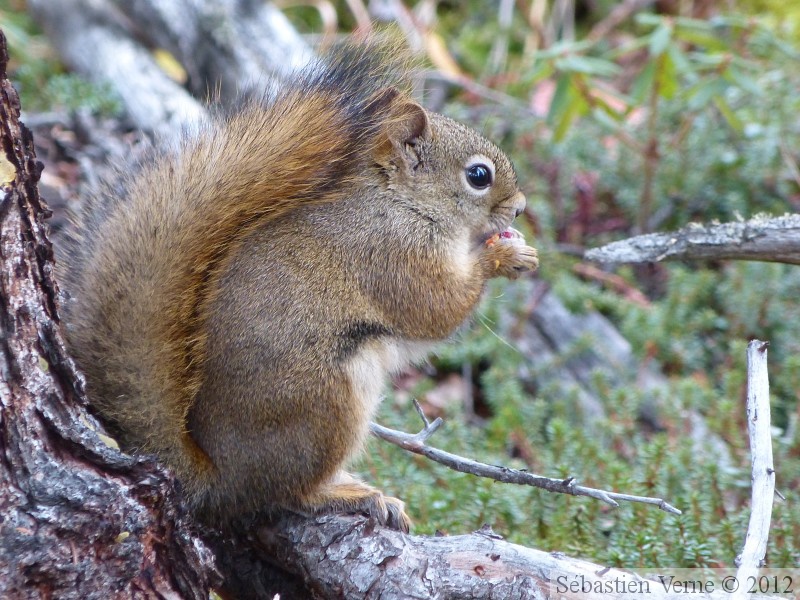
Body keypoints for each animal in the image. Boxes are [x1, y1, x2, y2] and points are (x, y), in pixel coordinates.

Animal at [59, 41, 540, 528]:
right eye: (478, 176)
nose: (520, 209)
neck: (402, 202)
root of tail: (220, 478)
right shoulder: (393, 254)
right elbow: (436, 309)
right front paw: (503, 257)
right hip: (325, 402)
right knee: (288, 494)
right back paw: (348, 493)